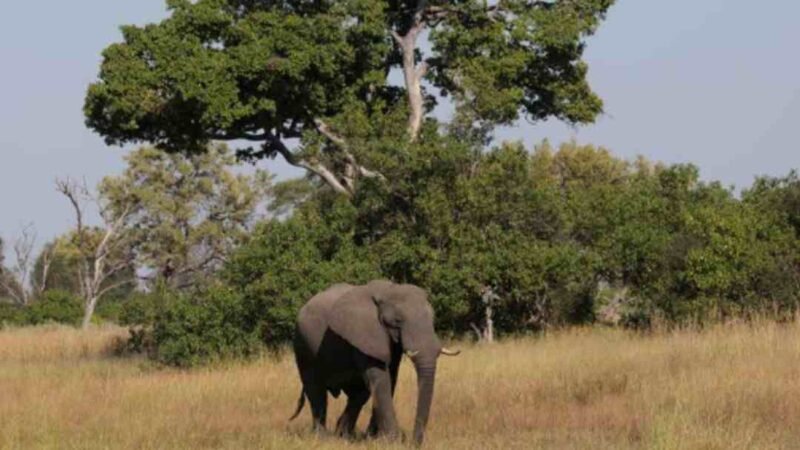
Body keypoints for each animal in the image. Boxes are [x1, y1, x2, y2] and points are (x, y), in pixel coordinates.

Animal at [289, 280, 459, 446]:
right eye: (397, 321)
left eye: (433, 318)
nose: (414, 443)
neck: (388, 290)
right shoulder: (365, 332)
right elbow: (380, 378)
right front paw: (392, 441)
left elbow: (390, 377)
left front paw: (375, 438)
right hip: (303, 344)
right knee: (315, 390)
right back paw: (322, 437)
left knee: (359, 394)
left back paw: (344, 435)